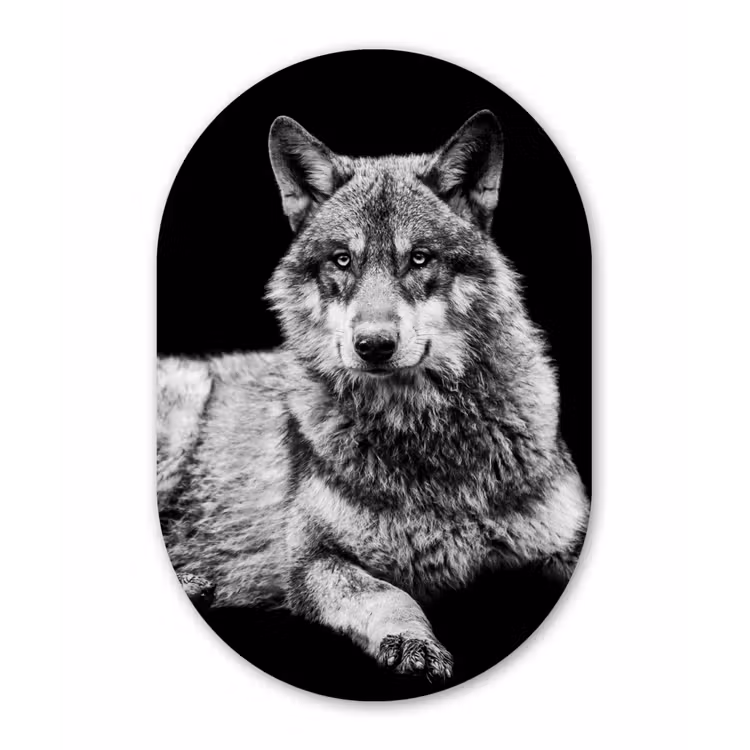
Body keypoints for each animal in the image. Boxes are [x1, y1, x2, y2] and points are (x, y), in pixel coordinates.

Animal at [157, 110, 589, 682]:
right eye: (343, 261)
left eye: (419, 258)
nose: (374, 345)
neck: (425, 435)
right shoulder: (313, 560)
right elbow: (390, 595)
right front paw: (412, 642)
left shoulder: (566, 540)